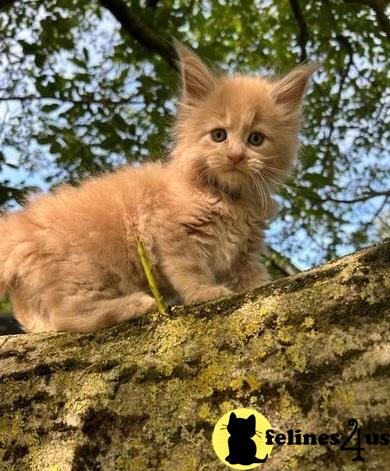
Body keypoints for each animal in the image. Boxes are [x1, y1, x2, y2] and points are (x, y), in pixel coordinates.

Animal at [0, 42, 316, 334]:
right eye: (218, 135)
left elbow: (255, 279)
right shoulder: (172, 232)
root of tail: (18, 227)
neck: (226, 197)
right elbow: (189, 270)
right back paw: (135, 303)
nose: (235, 156)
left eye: (255, 139)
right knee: (67, 316)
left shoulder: (245, 254)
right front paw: (205, 292)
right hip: (81, 270)